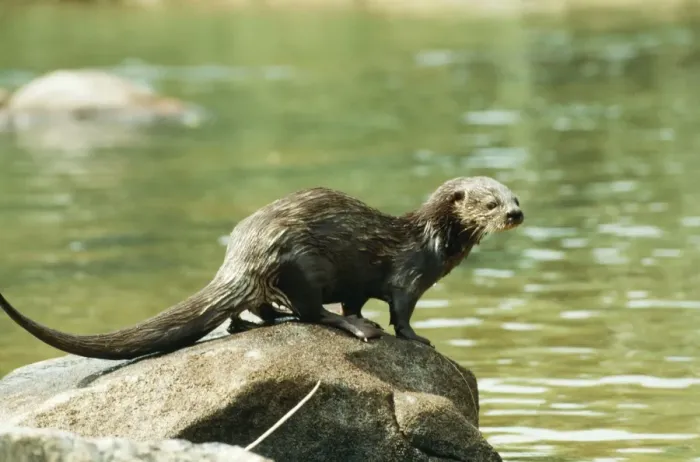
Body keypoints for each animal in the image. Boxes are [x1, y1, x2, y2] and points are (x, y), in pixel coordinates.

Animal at [0, 176, 523, 360]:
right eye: (491, 202)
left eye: (516, 196)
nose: (516, 214)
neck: (435, 240)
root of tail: (245, 254)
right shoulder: (410, 275)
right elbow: (401, 311)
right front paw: (415, 338)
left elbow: (358, 297)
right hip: (305, 265)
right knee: (311, 312)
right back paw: (354, 329)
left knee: (245, 314)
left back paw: (259, 319)